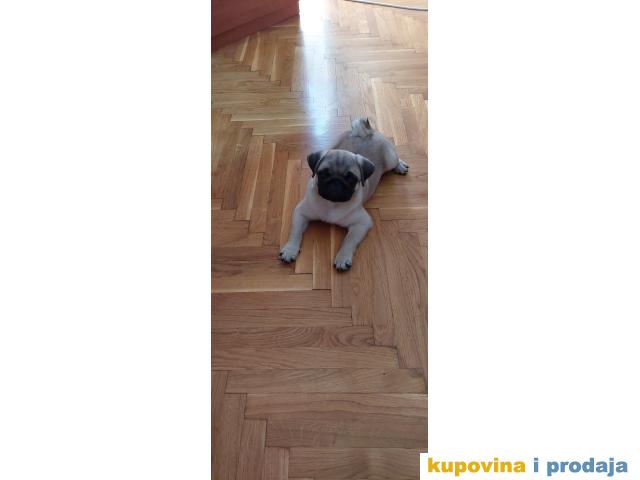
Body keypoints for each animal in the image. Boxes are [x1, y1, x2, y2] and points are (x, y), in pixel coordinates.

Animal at [279, 117, 409, 271]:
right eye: (323, 174)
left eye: (351, 178)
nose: (336, 182)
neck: (331, 204)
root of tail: (366, 132)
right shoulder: (300, 213)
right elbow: (295, 232)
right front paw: (290, 249)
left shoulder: (362, 223)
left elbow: (348, 241)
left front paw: (342, 257)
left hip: (390, 159)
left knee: (395, 159)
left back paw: (400, 166)